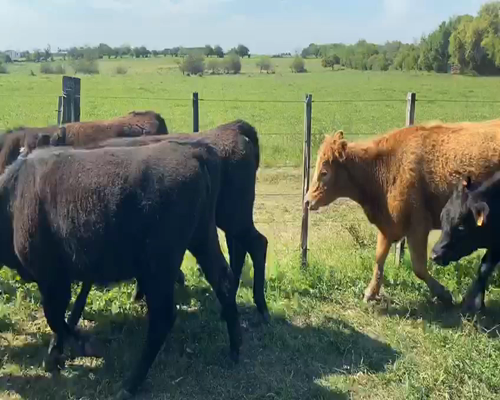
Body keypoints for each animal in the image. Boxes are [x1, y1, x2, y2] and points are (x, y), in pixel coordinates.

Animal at [0, 140, 242, 396]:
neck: (14, 195)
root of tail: (193, 152)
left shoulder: (52, 278)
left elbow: (55, 317)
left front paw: (84, 347)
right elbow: (60, 316)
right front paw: (56, 355)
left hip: (160, 266)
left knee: (163, 317)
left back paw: (130, 384)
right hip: (201, 239)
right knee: (223, 282)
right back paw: (235, 350)